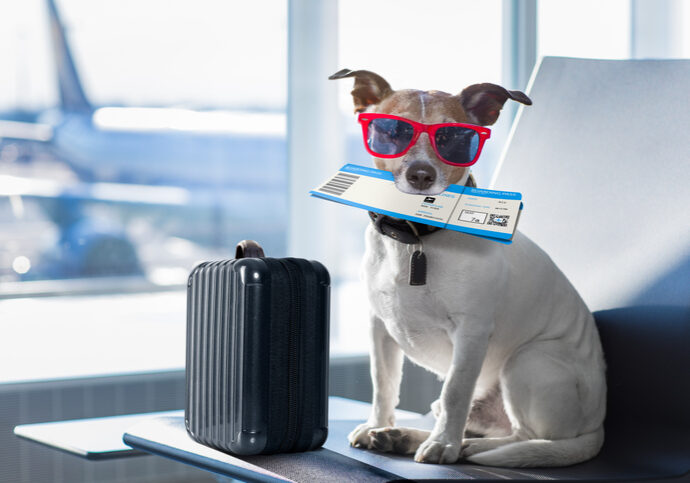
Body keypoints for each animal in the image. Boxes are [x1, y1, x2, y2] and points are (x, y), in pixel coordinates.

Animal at [328, 70, 600, 466]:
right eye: (393, 131)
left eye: (454, 137)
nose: (421, 174)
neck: (415, 238)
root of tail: (598, 425)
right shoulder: (379, 328)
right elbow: (383, 384)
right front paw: (377, 424)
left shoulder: (471, 333)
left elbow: (456, 390)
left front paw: (443, 445)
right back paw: (402, 436)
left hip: (528, 360)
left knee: (522, 437)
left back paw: (467, 448)